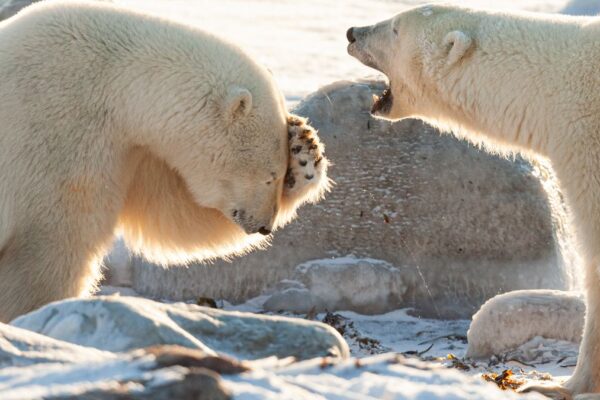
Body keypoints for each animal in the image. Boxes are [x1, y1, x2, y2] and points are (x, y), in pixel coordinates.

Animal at [0, 0, 330, 322]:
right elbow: (52, 248)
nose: (265, 226)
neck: (115, 84)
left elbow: (173, 212)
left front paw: (305, 150)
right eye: (269, 175)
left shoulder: (132, 149)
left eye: (282, 173)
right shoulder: (58, 135)